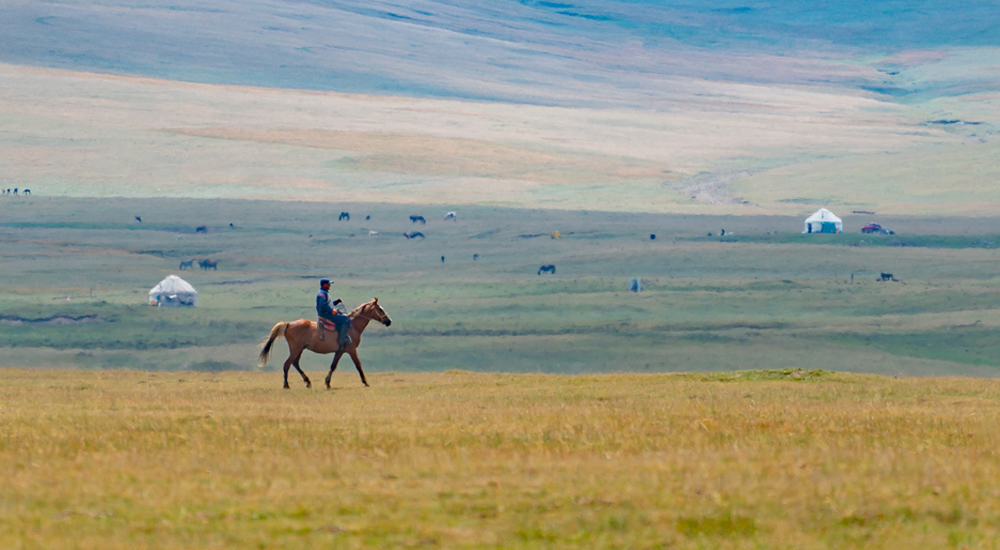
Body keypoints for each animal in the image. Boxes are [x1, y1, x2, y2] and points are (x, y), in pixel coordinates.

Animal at [258, 300, 390, 390]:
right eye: (380, 309)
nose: (389, 321)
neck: (353, 326)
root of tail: (288, 324)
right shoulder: (351, 350)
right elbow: (358, 365)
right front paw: (365, 382)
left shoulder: (340, 351)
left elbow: (333, 366)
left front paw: (327, 383)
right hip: (296, 349)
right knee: (287, 364)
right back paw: (287, 385)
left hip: (299, 349)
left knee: (295, 363)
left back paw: (308, 382)